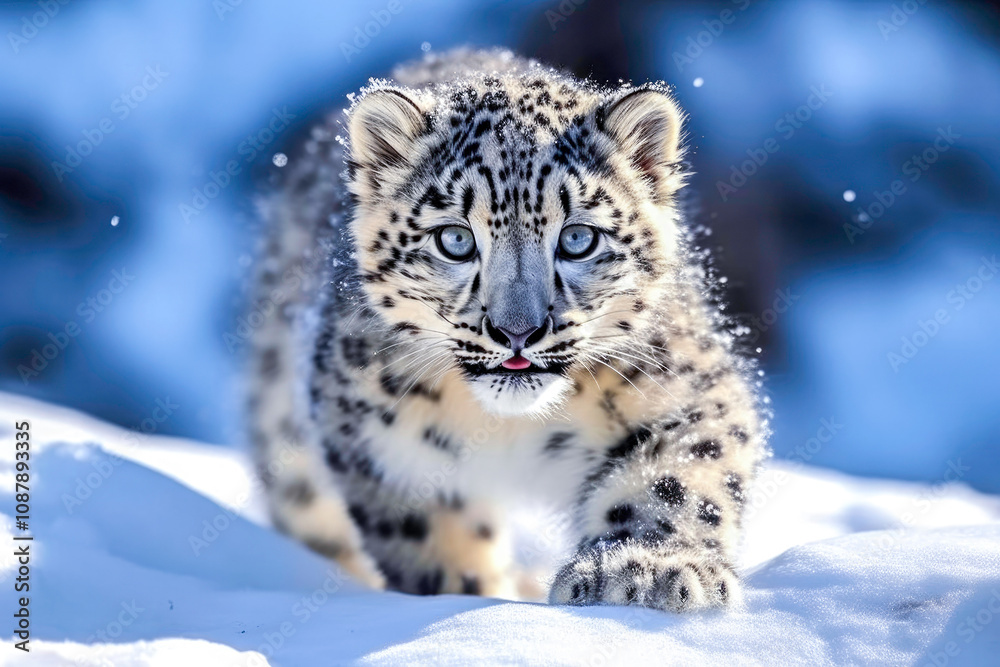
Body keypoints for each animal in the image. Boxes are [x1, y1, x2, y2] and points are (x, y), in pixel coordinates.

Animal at [247, 47, 768, 611]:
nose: (517, 331)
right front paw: (469, 598)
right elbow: (433, 541)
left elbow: (675, 481)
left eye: (578, 238)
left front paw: (643, 570)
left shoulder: (681, 389)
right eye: (454, 239)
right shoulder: (382, 442)